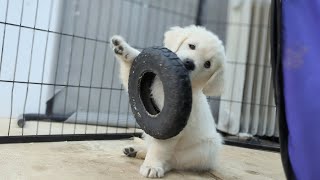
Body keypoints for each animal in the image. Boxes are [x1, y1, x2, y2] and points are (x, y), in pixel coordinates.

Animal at [111, 25, 226, 179]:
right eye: (192, 46)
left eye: (207, 64)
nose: (189, 63)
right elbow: (131, 69)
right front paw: (123, 49)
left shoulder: (170, 127)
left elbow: (159, 148)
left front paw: (152, 166)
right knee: (150, 146)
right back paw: (136, 149)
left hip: (205, 149)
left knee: (174, 161)